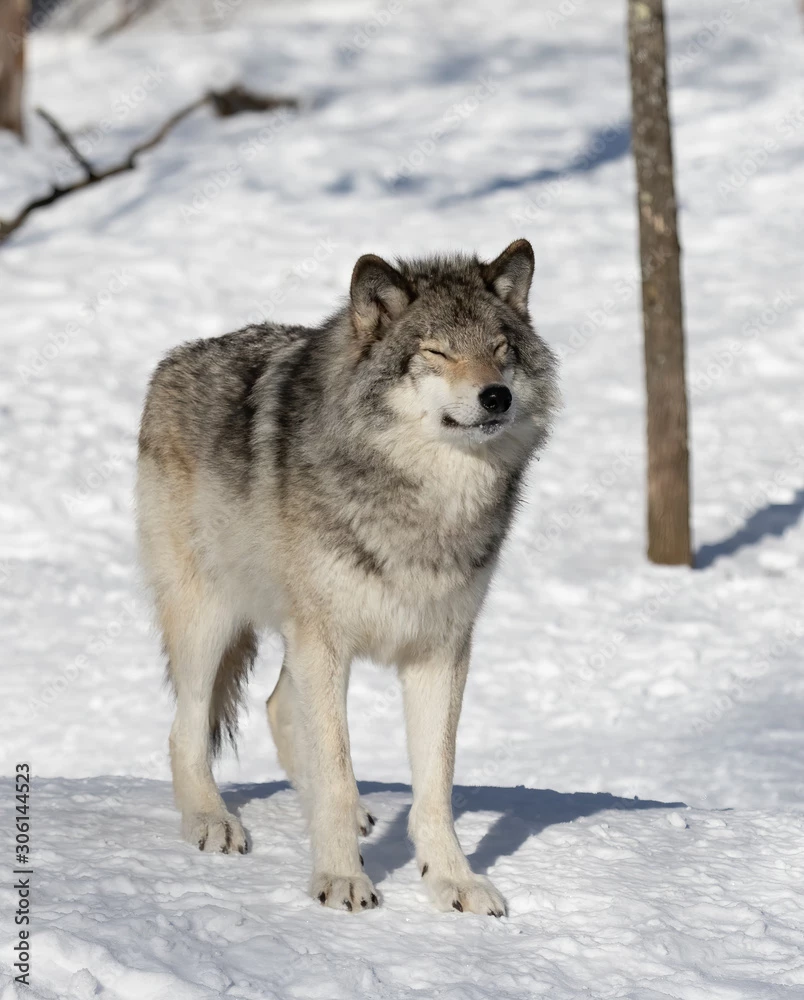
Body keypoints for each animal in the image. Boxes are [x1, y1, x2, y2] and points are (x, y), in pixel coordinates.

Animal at [136, 239, 558, 916]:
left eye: (501, 350)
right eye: (436, 351)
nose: (497, 397)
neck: (426, 504)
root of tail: (174, 360)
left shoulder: (441, 650)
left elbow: (434, 787)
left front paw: (454, 881)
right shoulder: (325, 641)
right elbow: (335, 769)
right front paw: (339, 880)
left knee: (279, 708)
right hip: (212, 619)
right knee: (187, 728)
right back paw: (211, 820)